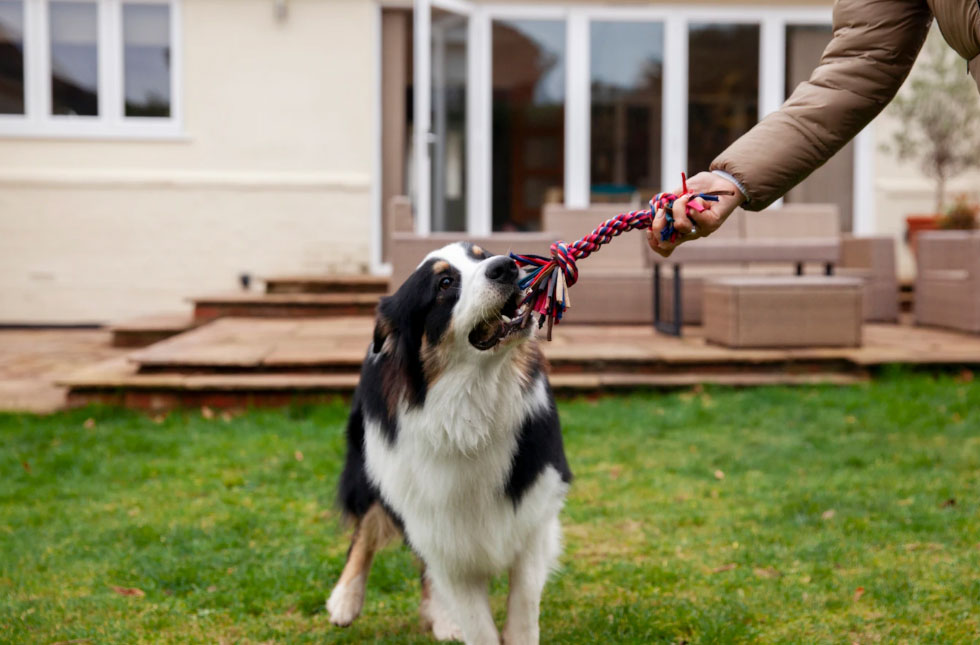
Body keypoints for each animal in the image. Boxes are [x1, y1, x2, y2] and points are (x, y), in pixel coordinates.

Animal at [330, 243, 576, 644]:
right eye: (445, 283)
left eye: (483, 255)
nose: (507, 266)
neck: (470, 410)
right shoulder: (437, 528)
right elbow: (477, 623)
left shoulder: (534, 514)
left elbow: (523, 606)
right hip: (370, 464)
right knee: (365, 527)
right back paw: (345, 600)